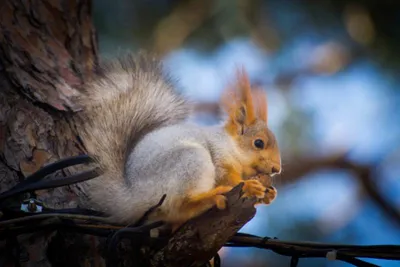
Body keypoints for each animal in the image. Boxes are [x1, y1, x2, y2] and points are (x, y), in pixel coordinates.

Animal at [76, 52, 280, 230]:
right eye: (258, 143)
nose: (276, 169)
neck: (230, 145)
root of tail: (130, 197)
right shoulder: (219, 156)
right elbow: (227, 177)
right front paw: (248, 186)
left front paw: (268, 194)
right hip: (189, 161)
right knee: (181, 204)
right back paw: (209, 198)